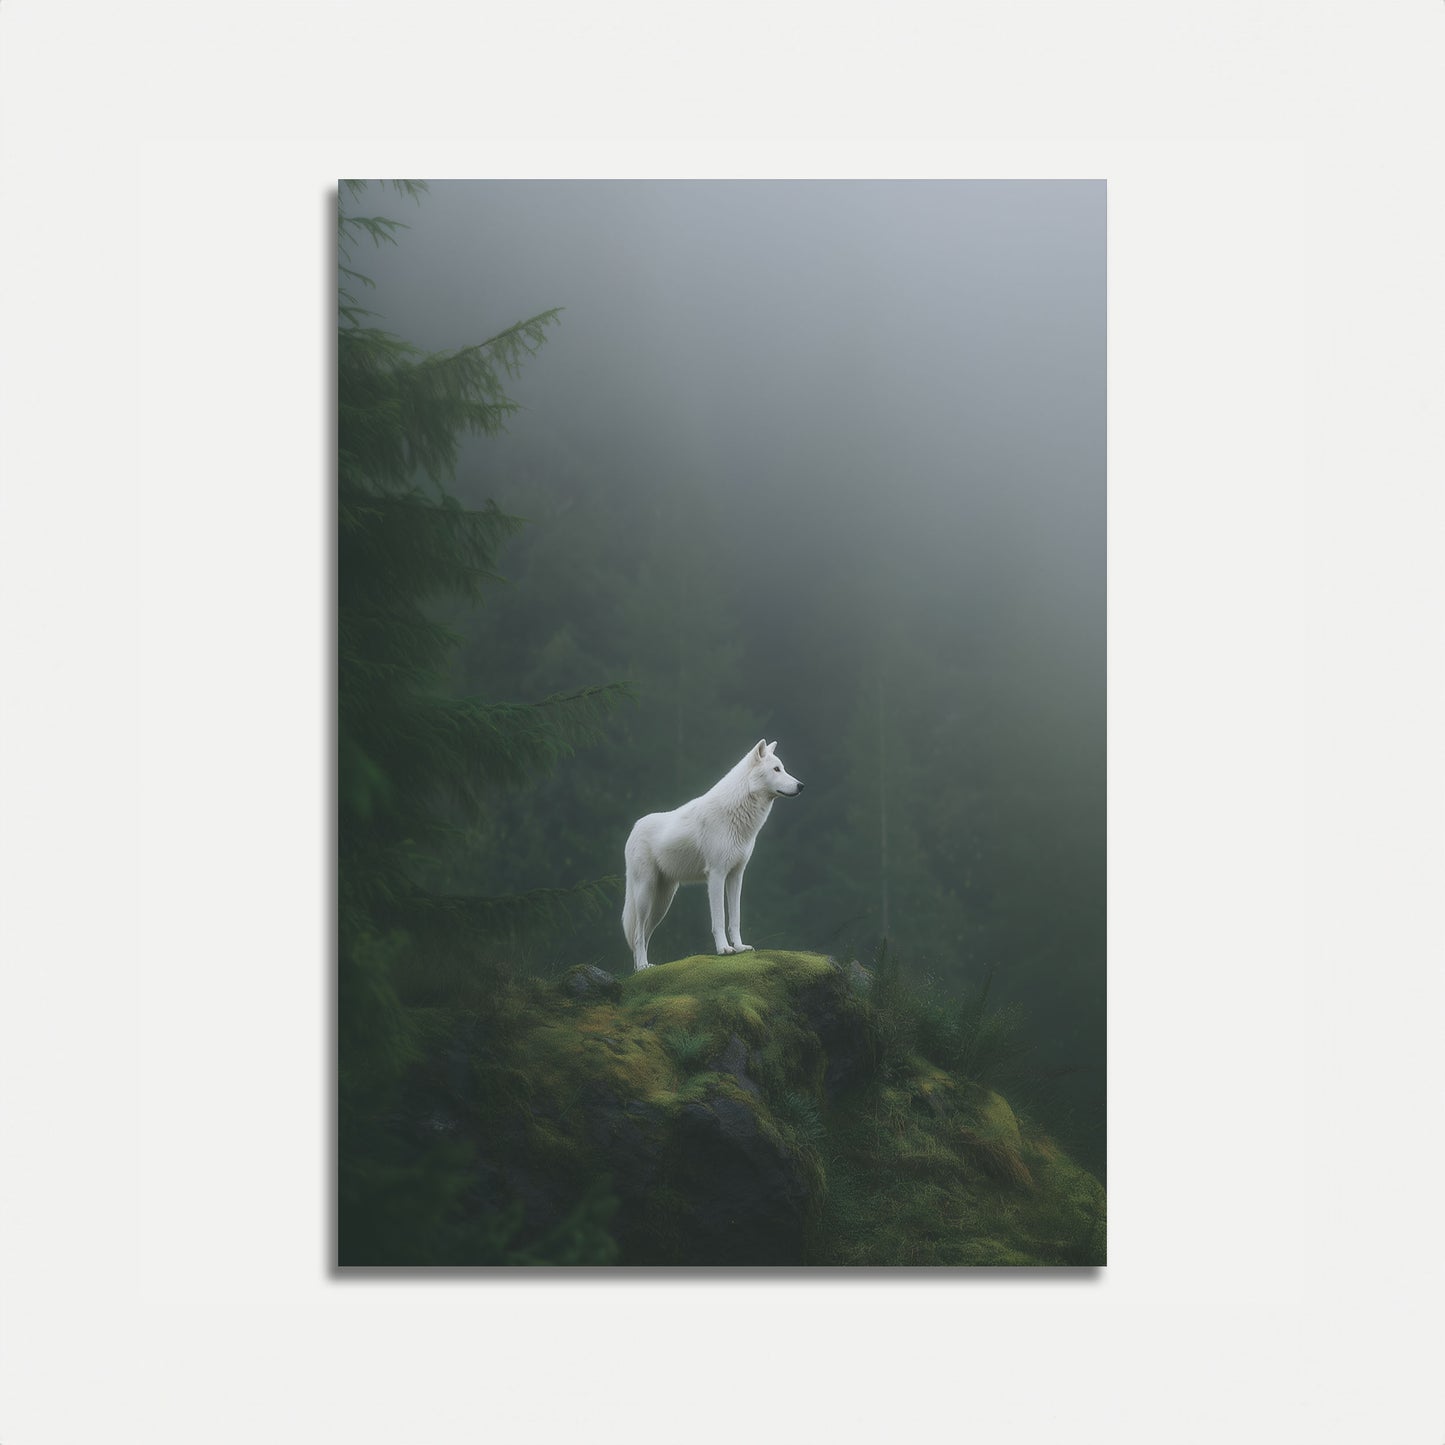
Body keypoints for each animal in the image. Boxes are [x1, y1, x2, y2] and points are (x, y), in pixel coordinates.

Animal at [622, 739, 804, 971]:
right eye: (776, 769)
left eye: (783, 768)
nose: (801, 785)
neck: (739, 817)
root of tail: (634, 828)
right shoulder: (716, 875)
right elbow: (719, 919)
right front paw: (724, 949)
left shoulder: (736, 875)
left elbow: (735, 918)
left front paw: (740, 947)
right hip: (645, 895)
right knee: (637, 934)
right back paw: (644, 966)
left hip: (662, 904)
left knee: (644, 935)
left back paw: (642, 969)